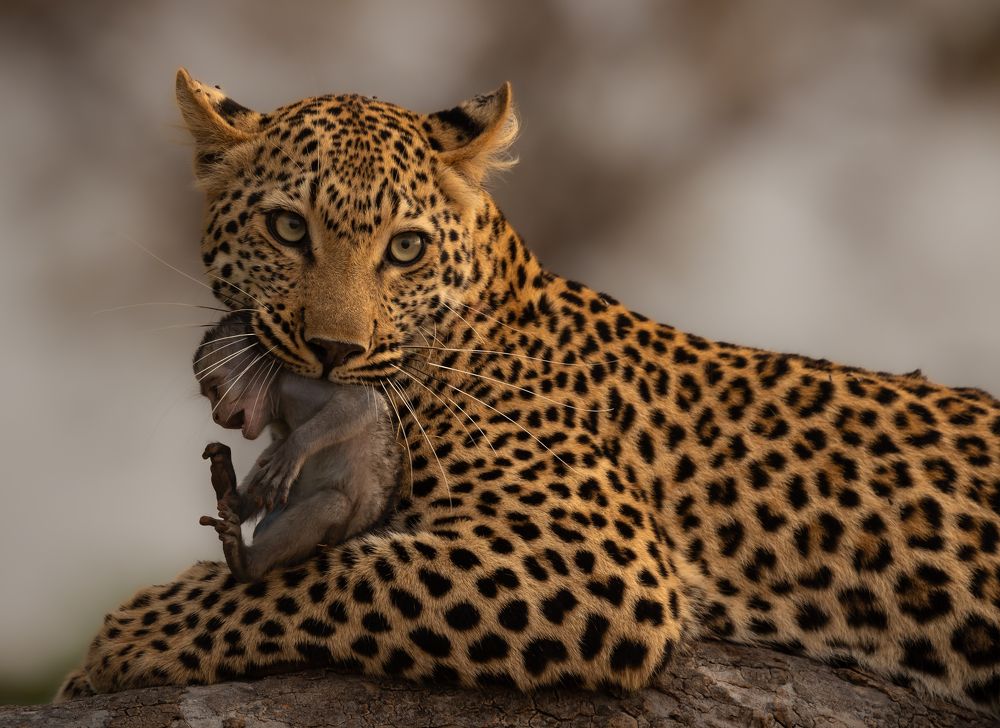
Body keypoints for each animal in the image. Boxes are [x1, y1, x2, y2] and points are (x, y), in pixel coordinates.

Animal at [193, 312, 401, 582]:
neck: (279, 399)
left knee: (333, 503)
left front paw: (296, 447)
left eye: (215, 390)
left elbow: (364, 402)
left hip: (328, 540)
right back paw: (230, 493)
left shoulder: (297, 386)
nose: (216, 415)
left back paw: (247, 563)